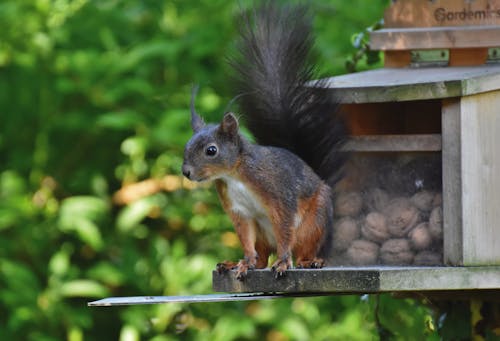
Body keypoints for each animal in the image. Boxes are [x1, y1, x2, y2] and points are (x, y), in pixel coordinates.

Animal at [182, 1, 346, 278]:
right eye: (186, 147)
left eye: (211, 150)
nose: (186, 172)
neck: (234, 174)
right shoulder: (239, 211)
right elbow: (246, 238)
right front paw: (245, 261)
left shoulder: (278, 194)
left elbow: (284, 229)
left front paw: (282, 262)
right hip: (262, 234)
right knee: (260, 256)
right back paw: (235, 263)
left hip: (314, 223)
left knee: (303, 247)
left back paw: (309, 262)